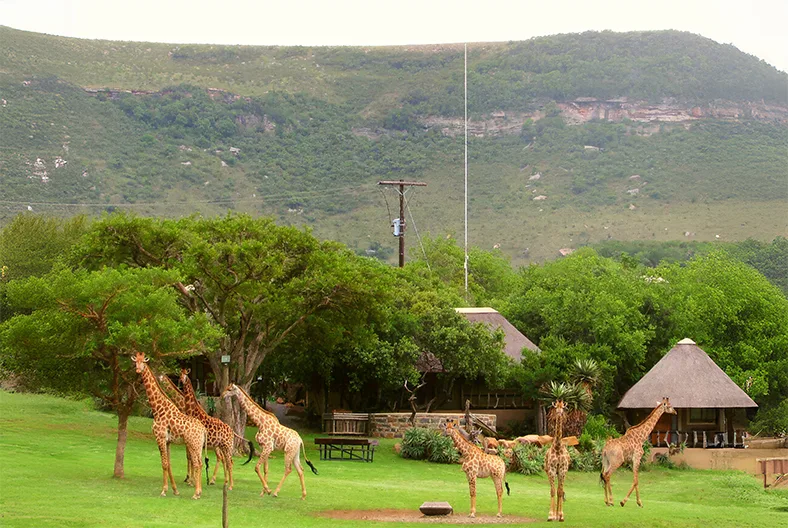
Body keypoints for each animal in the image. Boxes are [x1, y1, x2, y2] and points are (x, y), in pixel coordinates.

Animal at [133, 353, 207, 499]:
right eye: (135, 361)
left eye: (143, 362)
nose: (138, 370)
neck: (157, 409)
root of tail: (203, 430)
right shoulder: (167, 441)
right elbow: (169, 463)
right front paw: (175, 490)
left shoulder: (160, 437)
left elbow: (164, 464)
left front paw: (164, 491)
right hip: (198, 445)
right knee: (200, 463)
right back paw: (199, 491)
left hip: (192, 444)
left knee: (197, 463)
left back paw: (196, 493)